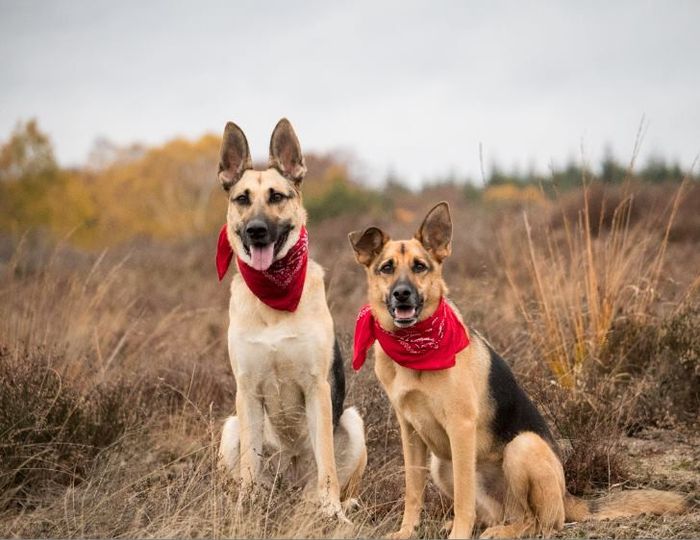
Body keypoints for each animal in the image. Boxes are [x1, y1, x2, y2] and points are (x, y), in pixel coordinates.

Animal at [217, 118, 366, 520]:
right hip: (230, 427)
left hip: (353, 423)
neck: (274, 298)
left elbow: (326, 460)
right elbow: (251, 464)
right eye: (242, 199)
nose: (256, 230)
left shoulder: (317, 388)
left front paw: (332, 510)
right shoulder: (247, 391)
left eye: (276, 197)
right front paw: (247, 509)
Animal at [348, 201, 688, 536]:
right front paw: (407, 531)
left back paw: (503, 531)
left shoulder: (460, 427)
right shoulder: (410, 430)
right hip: (441, 464)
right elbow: (413, 491)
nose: (402, 294)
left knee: (539, 522)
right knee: (497, 514)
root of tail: (568, 496)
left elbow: (463, 499)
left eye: (420, 266)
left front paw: (458, 533)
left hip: (522, 446)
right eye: (387, 268)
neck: (414, 346)